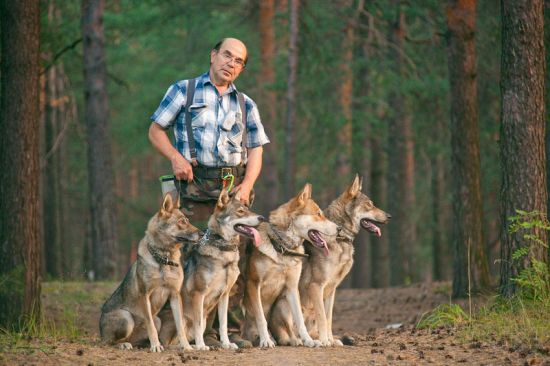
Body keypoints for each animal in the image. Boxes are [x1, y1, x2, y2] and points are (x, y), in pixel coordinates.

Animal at [100, 194, 202, 352]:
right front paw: (155, 346)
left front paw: (186, 346)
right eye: (181, 222)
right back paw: (125, 344)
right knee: (109, 342)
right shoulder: (145, 294)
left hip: (158, 320)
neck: (164, 259)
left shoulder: (175, 295)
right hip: (126, 318)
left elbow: (180, 326)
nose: (202, 234)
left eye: (187, 221)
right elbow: (150, 326)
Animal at [158, 190, 266, 350]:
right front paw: (202, 346)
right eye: (240, 211)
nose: (262, 218)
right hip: (181, 318)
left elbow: (223, 324)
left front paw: (226, 344)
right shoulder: (199, 293)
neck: (224, 251)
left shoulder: (225, 295)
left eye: (248, 209)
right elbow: (198, 324)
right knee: (169, 343)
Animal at [243, 184, 340, 348]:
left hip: (284, 302)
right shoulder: (253, 283)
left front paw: (309, 341)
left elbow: (300, 321)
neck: (282, 249)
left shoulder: (292, 288)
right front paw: (265, 341)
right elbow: (261, 318)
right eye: (318, 214)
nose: (339, 229)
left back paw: (298, 340)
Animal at [274, 174, 390, 346]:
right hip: (287, 304)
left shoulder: (331, 289)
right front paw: (325, 341)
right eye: (369, 205)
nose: (389, 217)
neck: (340, 239)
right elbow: (323, 317)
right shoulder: (316, 286)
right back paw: (299, 341)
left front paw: (330, 340)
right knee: (288, 333)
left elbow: (328, 319)